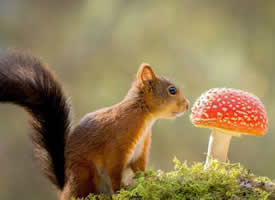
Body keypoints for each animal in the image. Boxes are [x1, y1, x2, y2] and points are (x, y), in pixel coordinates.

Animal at [0, 50, 190, 200]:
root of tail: (65, 188)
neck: (143, 117)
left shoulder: (140, 152)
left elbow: (140, 170)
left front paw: (151, 180)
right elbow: (114, 173)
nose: (187, 105)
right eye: (172, 90)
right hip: (84, 174)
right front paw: (120, 192)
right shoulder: (116, 147)